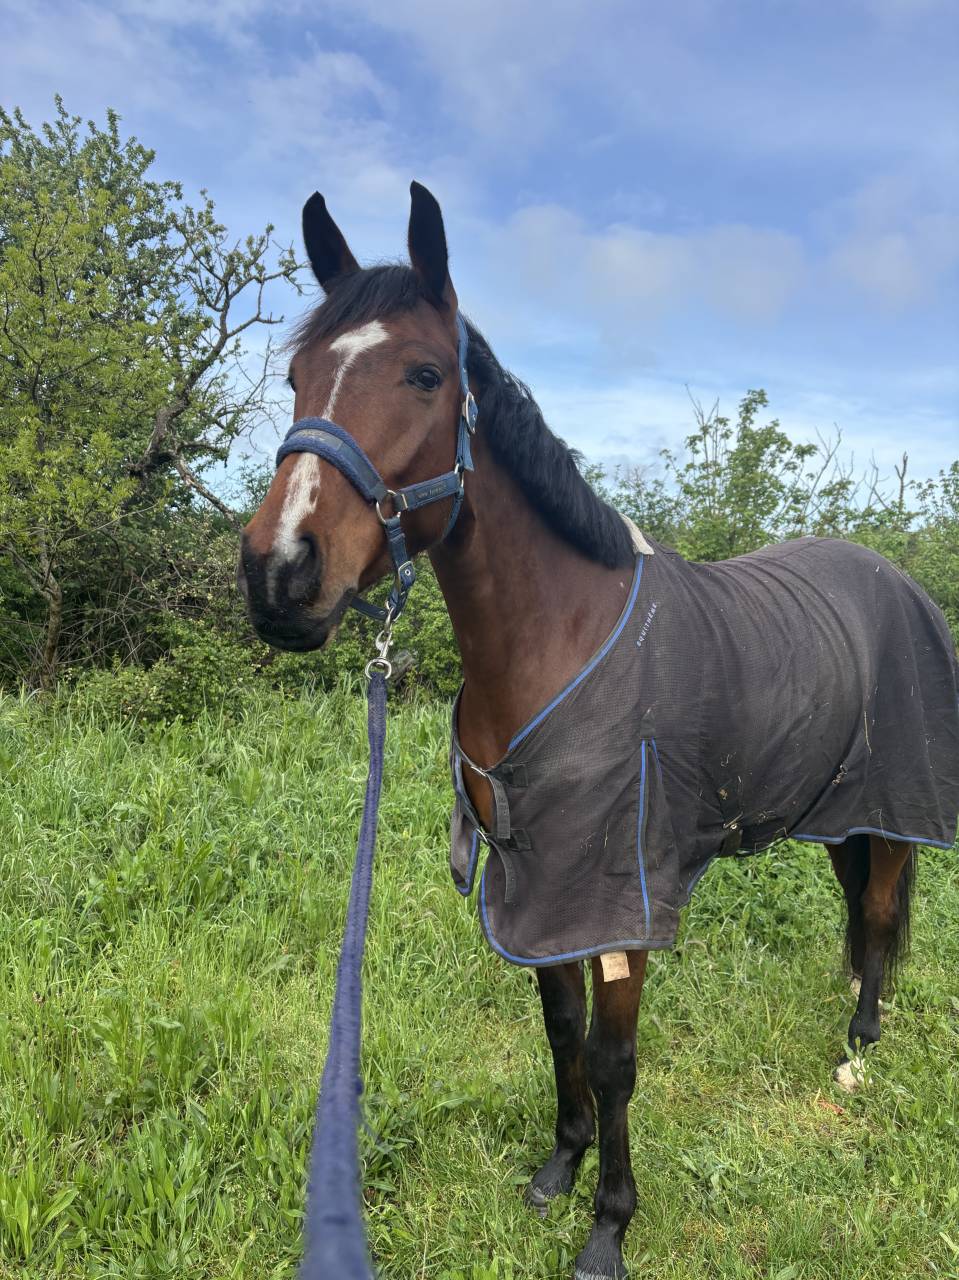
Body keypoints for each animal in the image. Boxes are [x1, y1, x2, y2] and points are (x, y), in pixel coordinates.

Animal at [237, 182, 959, 1280]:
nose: (279, 571)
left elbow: (614, 1059)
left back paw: (856, 1046)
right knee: (856, 904)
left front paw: (609, 1225)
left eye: (424, 373)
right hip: (834, 805)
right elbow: (559, 1027)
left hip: (892, 799)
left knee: (877, 908)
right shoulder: (537, 878)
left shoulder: (619, 893)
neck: (553, 638)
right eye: (296, 376)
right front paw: (557, 1168)